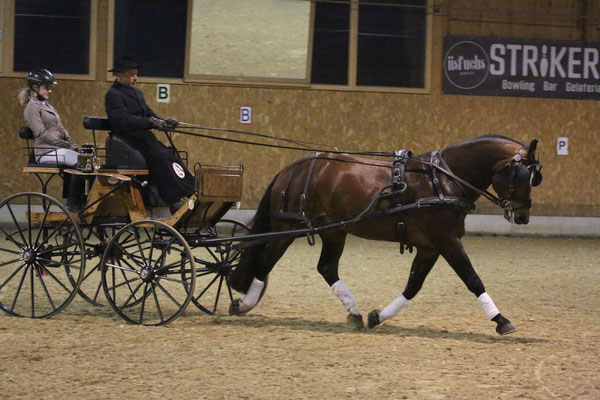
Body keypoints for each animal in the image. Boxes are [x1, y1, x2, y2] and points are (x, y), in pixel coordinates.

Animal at [229, 136, 544, 336]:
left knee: (326, 268)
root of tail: (292, 168)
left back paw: (354, 312)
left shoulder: (430, 247)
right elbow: (473, 279)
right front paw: (501, 320)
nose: (522, 217)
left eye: (534, 178)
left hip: (334, 230)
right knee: (265, 262)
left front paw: (378, 316)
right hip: (286, 228)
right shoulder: (447, 241)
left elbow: (413, 286)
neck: (442, 181)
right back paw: (244, 303)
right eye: (522, 177)